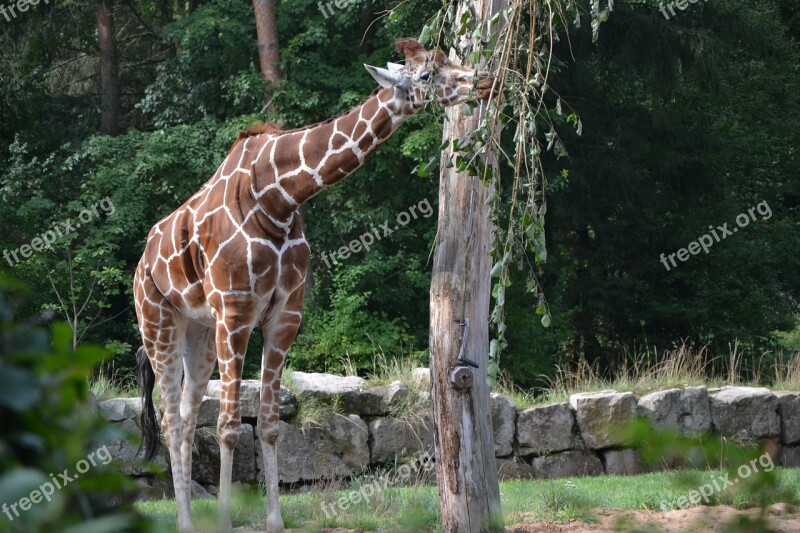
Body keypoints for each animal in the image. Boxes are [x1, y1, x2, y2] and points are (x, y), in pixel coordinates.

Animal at [134, 38, 496, 532]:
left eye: (450, 60)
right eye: (426, 75)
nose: (484, 80)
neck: (278, 196)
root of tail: (141, 263)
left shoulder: (285, 313)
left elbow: (268, 424)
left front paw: (274, 522)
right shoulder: (236, 310)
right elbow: (229, 426)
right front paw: (227, 520)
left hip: (200, 332)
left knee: (188, 417)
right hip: (159, 323)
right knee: (173, 419)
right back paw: (187, 523)